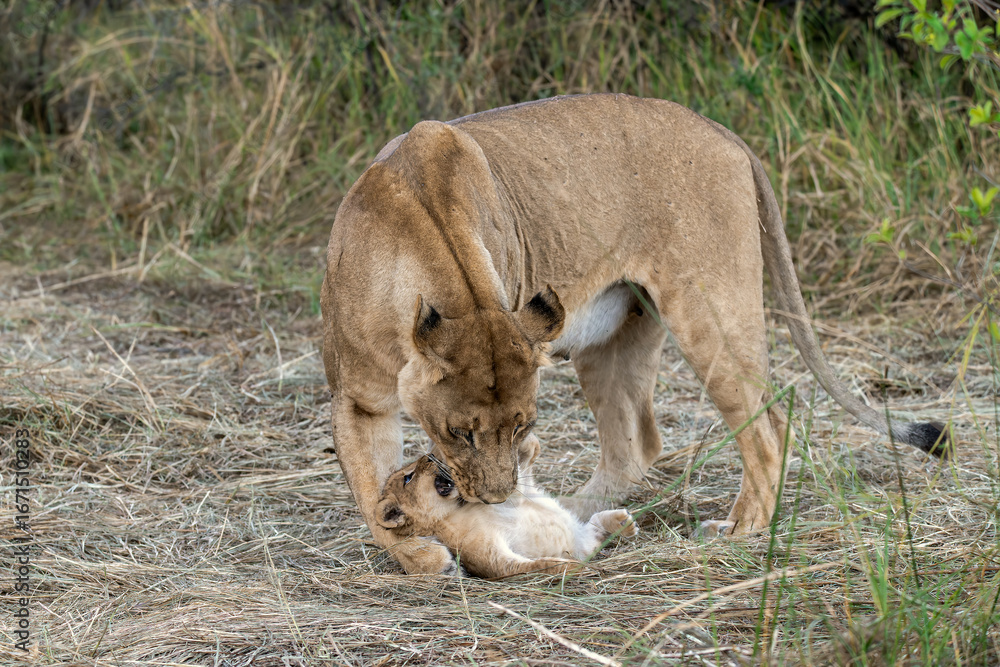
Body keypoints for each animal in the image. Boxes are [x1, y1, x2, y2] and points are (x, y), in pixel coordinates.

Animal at [375, 435, 638, 578]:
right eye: (408, 478)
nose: (429, 456)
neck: (453, 511)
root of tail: (578, 540)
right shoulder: (490, 558)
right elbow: (527, 567)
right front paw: (567, 566)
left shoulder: (514, 498)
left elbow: (520, 473)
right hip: (586, 541)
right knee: (594, 532)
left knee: (594, 526)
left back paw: (623, 523)